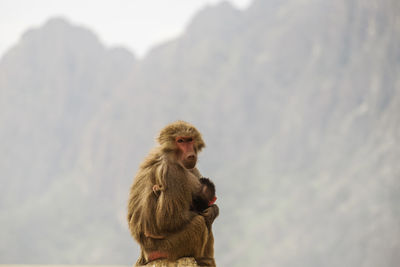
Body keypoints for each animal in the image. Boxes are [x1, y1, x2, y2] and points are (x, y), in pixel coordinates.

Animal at [127, 121, 219, 267]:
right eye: (180, 141)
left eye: (189, 140)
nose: (190, 154)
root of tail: (145, 253)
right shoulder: (172, 171)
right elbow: (167, 221)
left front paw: (213, 210)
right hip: (169, 247)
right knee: (199, 223)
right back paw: (201, 259)